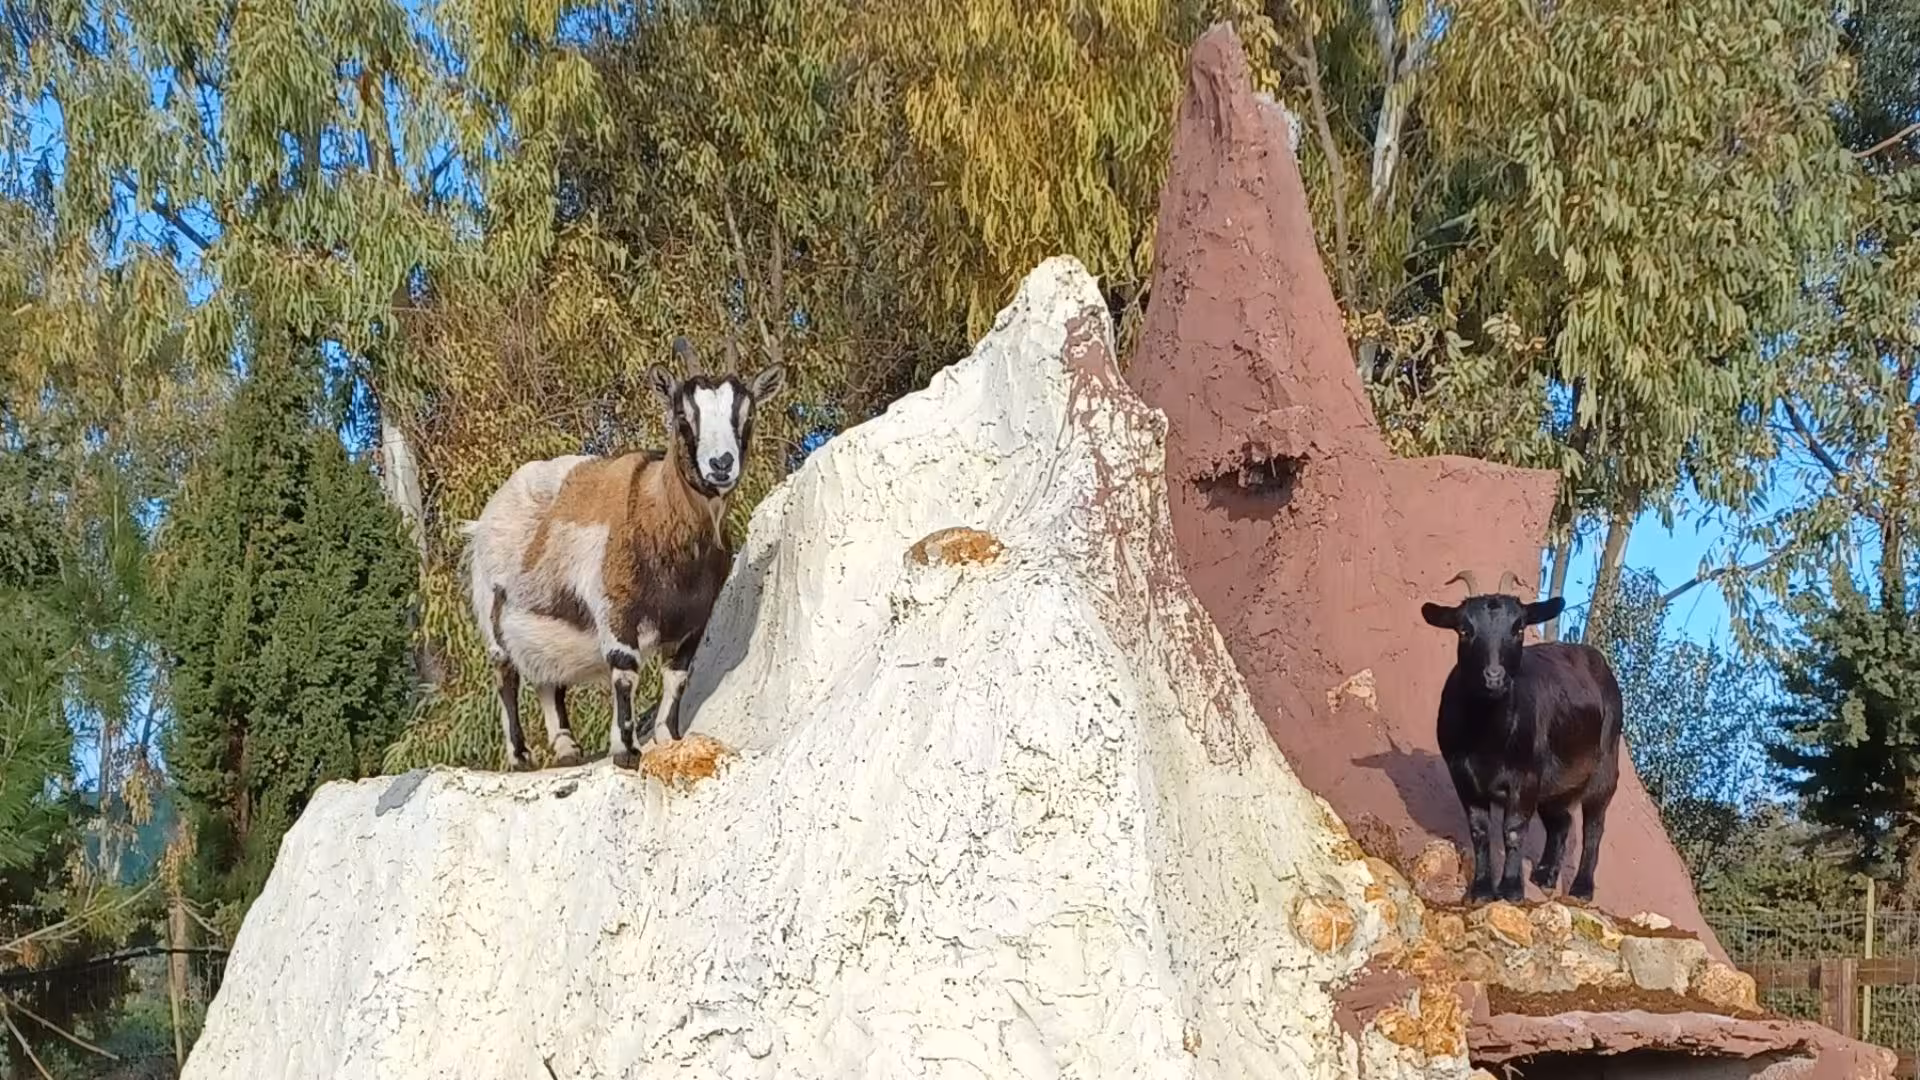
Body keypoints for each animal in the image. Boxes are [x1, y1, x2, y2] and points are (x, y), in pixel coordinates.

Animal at [464, 338, 785, 769]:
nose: (721, 465)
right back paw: (519, 757)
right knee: (505, 674)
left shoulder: (695, 620)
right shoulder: (617, 607)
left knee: (548, 681)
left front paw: (667, 738)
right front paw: (626, 750)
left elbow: (678, 676)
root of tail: (489, 514)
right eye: (683, 417)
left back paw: (567, 749)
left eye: (747, 416)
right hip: (492, 610)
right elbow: (625, 671)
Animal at [1420, 569, 1624, 903]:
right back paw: (1544, 876)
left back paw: (1581, 889)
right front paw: (1481, 890)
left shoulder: (1526, 776)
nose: (1494, 677)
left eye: (1518, 628)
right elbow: (1479, 830)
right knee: (1561, 821)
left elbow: (1514, 829)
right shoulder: (1462, 774)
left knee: (1594, 824)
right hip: (1556, 782)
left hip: (1605, 765)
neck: (1488, 738)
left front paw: (1511, 890)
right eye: (1464, 629)